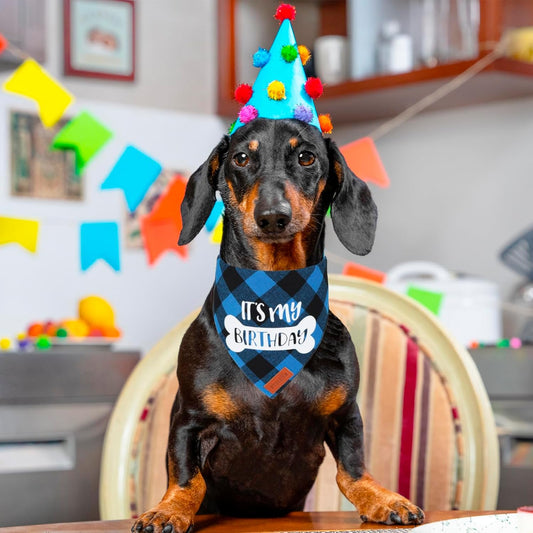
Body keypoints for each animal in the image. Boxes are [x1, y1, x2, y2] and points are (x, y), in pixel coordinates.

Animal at [133, 118, 424, 528]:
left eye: (306, 157)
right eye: (241, 158)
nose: (273, 216)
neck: (271, 311)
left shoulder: (346, 415)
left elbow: (353, 471)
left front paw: (382, 498)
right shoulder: (188, 421)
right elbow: (188, 479)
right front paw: (168, 509)